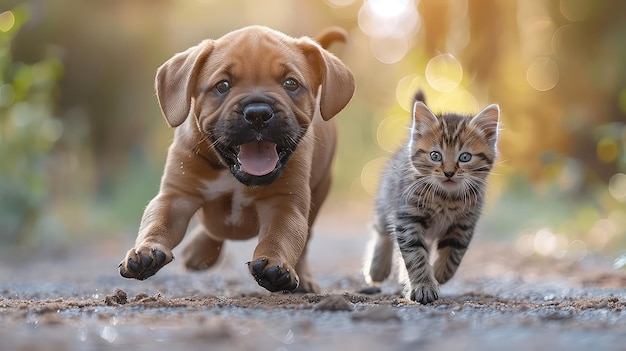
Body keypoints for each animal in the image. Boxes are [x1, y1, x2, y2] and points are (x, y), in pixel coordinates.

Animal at [117, 25, 352, 294]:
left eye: (291, 83)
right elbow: (157, 223)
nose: (258, 113)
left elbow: (280, 238)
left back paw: (303, 278)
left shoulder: (285, 204)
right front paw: (147, 249)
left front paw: (276, 264)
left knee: (305, 241)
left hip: (321, 191)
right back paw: (199, 250)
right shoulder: (175, 197)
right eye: (222, 86)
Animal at [360, 92, 498, 304]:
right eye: (435, 156)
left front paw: (439, 274)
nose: (448, 172)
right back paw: (377, 269)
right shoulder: (407, 218)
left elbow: (453, 254)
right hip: (388, 198)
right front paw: (423, 286)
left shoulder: (464, 224)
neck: (446, 197)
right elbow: (415, 256)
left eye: (465, 157)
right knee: (381, 230)